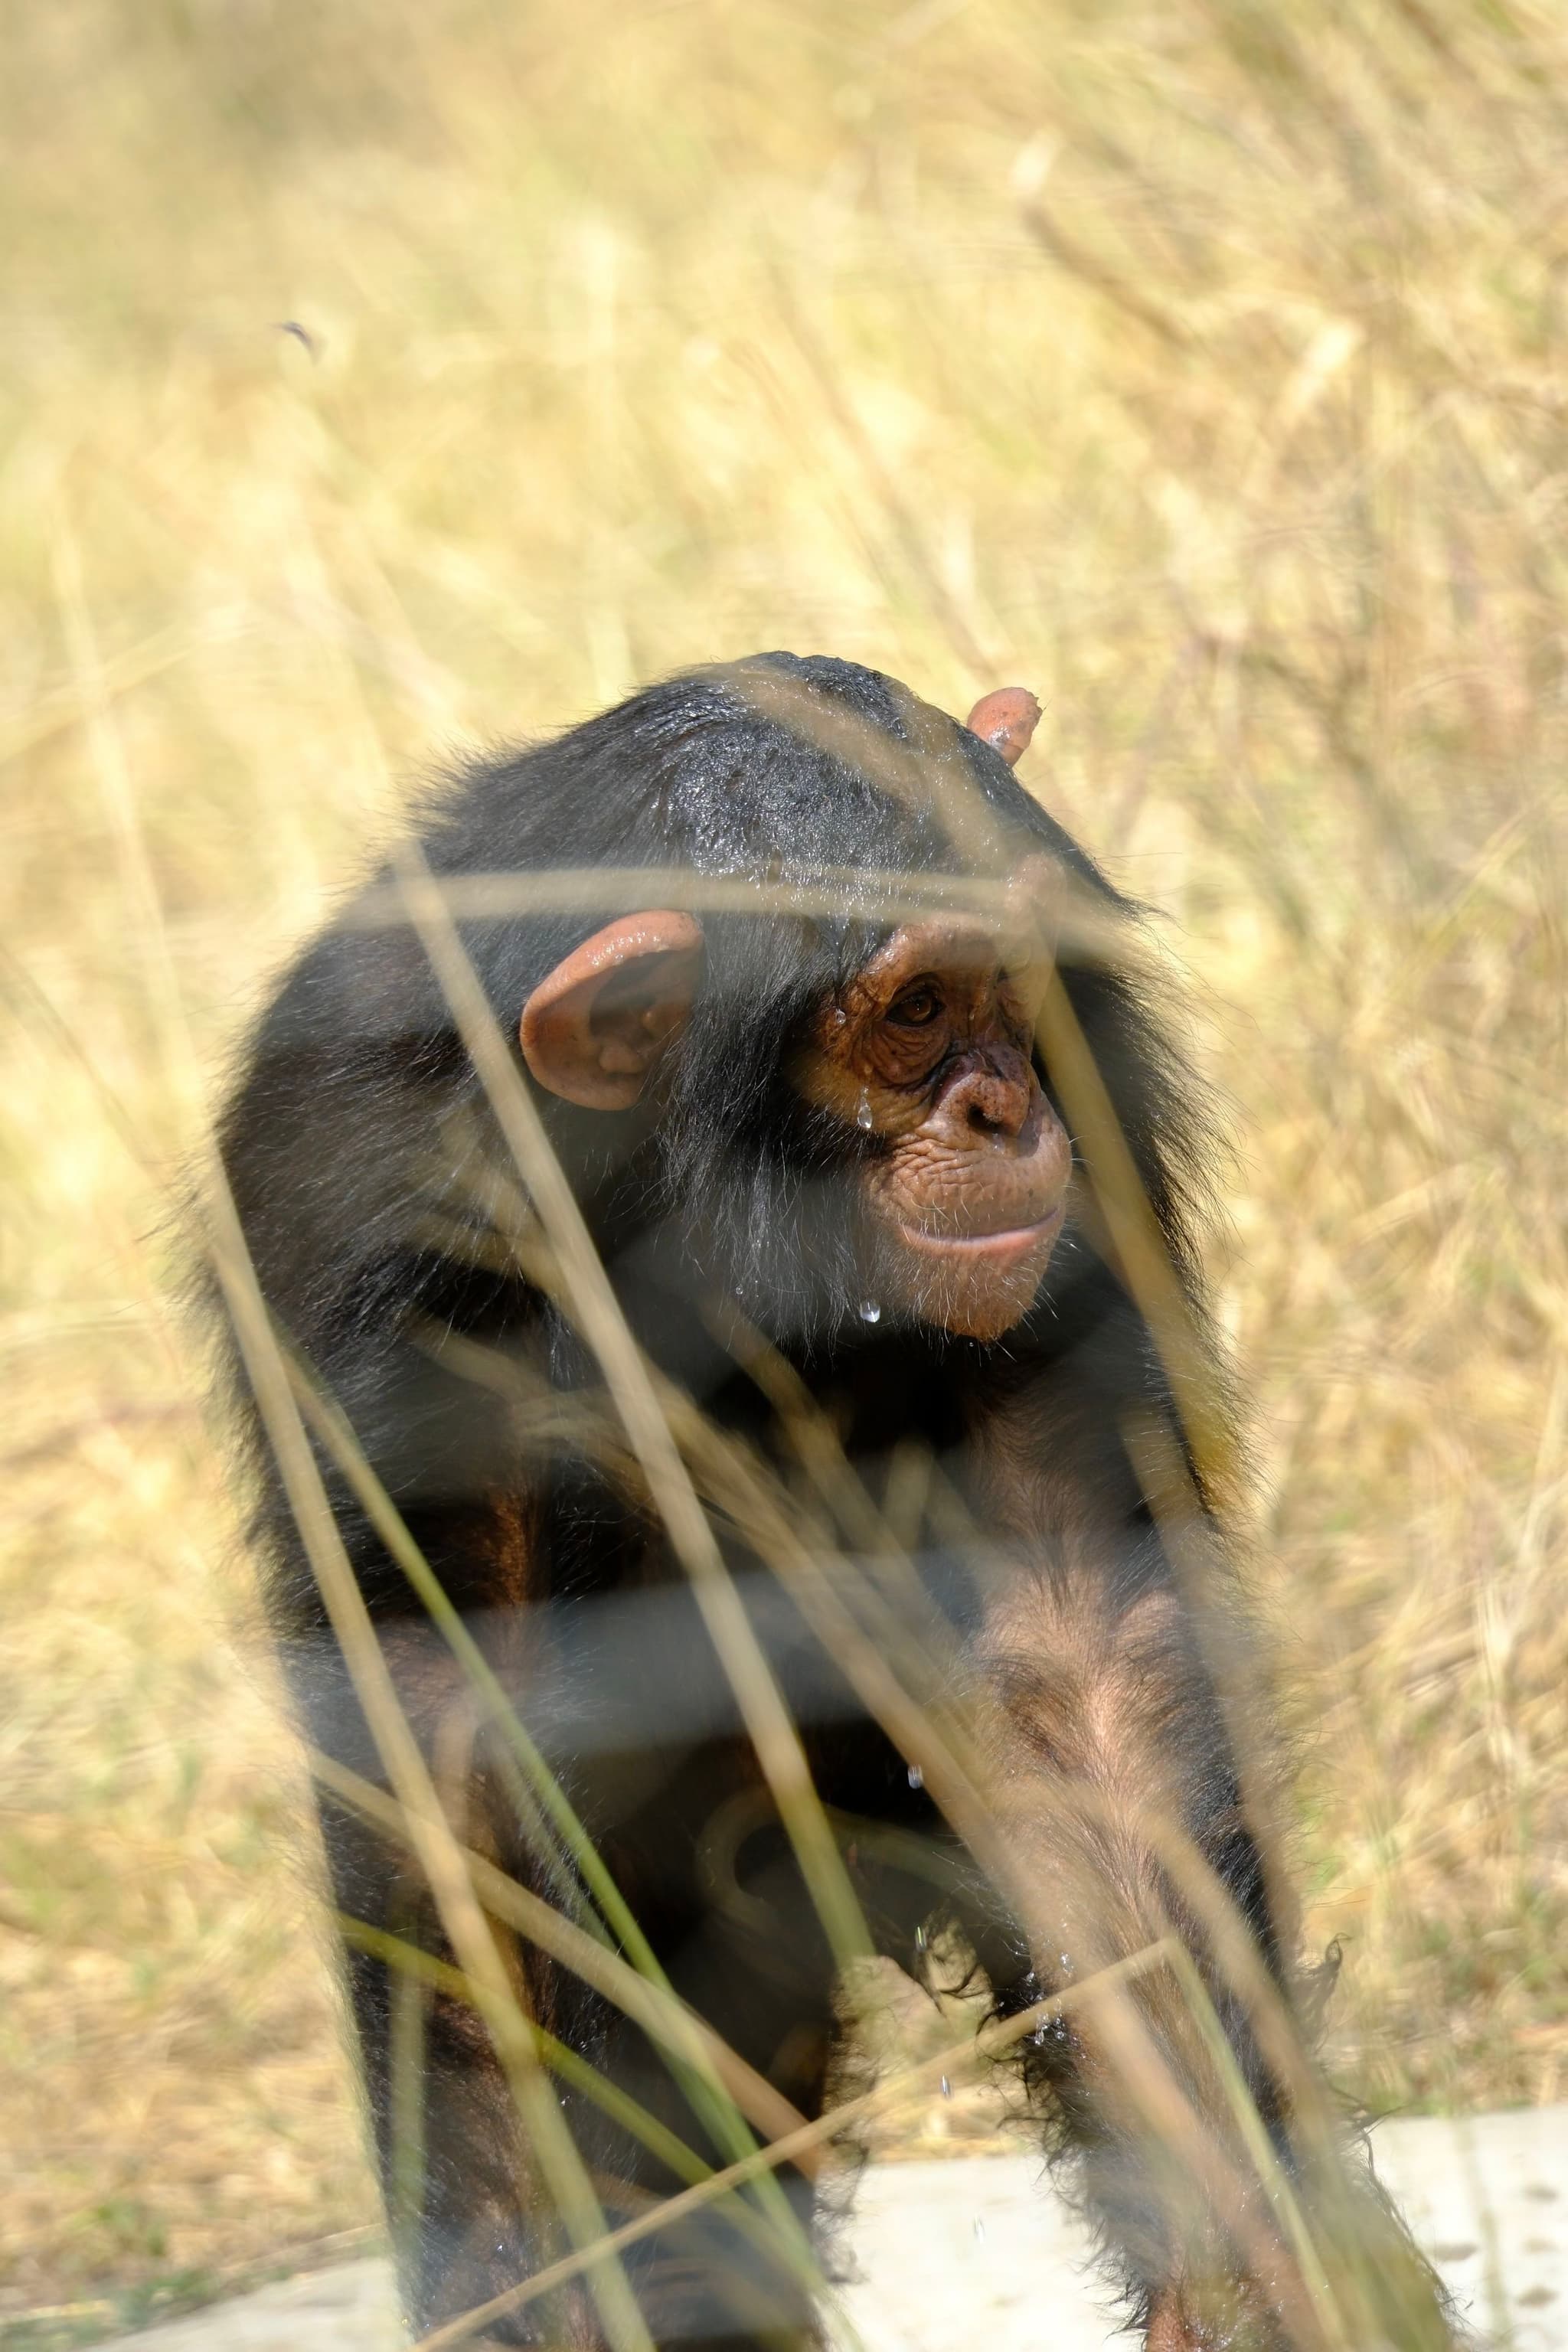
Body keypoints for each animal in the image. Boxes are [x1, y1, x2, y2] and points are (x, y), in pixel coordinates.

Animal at [215, 653, 1449, 2351]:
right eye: (915, 1010)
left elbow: (1083, 1705)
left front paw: (1275, 2273)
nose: (1000, 1108)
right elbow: (470, 1779)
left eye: (1010, 976)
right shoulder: (366, 1214)